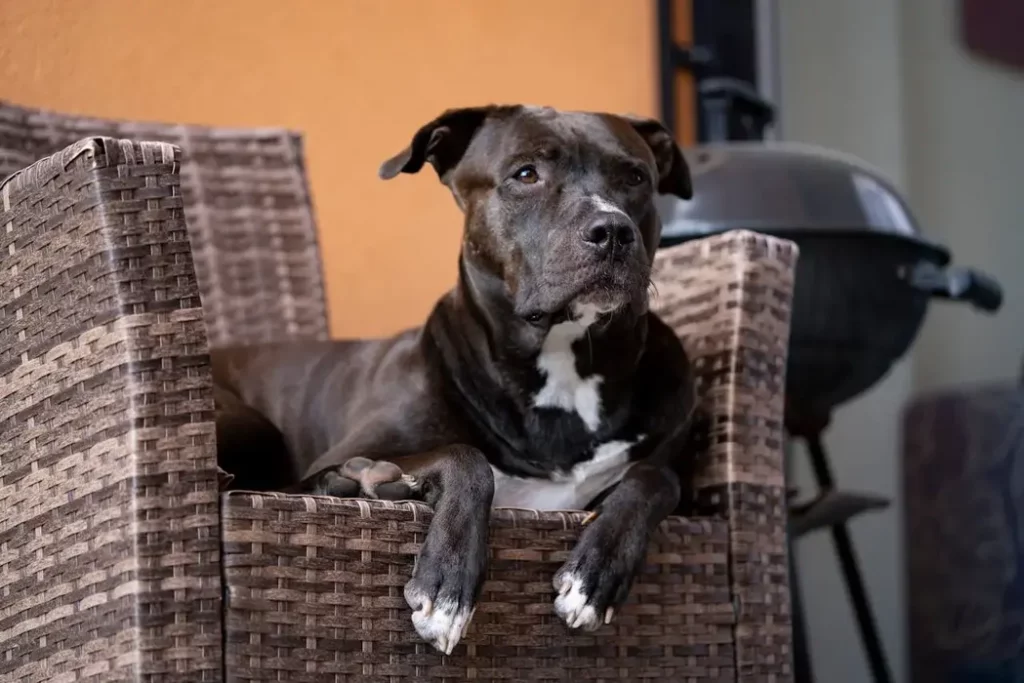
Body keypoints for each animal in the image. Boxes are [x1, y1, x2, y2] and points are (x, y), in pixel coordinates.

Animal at [215, 104, 696, 655]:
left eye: (635, 177)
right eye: (526, 174)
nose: (613, 230)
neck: (563, 365)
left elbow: (657, 477)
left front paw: (596, 574)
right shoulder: (332, 461)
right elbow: (468, 460)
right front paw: (446, 587)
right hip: (254, 427)